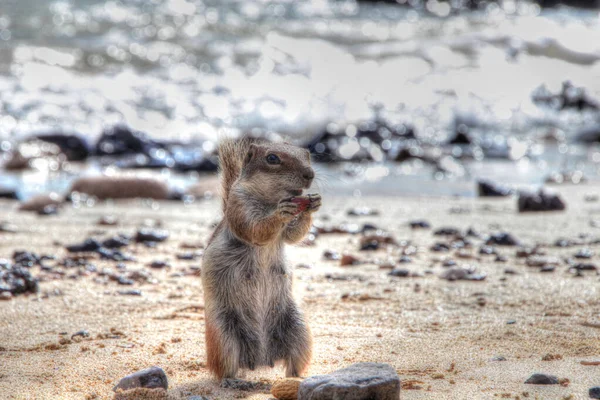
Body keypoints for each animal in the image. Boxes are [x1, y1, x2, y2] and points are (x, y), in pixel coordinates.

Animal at [202, 137, 322, 378]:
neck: (271, 199)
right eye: (272, 158)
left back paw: (298, 378)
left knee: (295, 362)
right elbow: (256, 229)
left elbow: (294, 235)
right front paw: (280, 213)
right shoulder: (238, 204)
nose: (310, 174)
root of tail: (260, 359)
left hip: (300, 329)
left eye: (307, 154)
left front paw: (313, 204)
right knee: (225, 367)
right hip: (223, 334)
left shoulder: (287, 232)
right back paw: (233, 381)